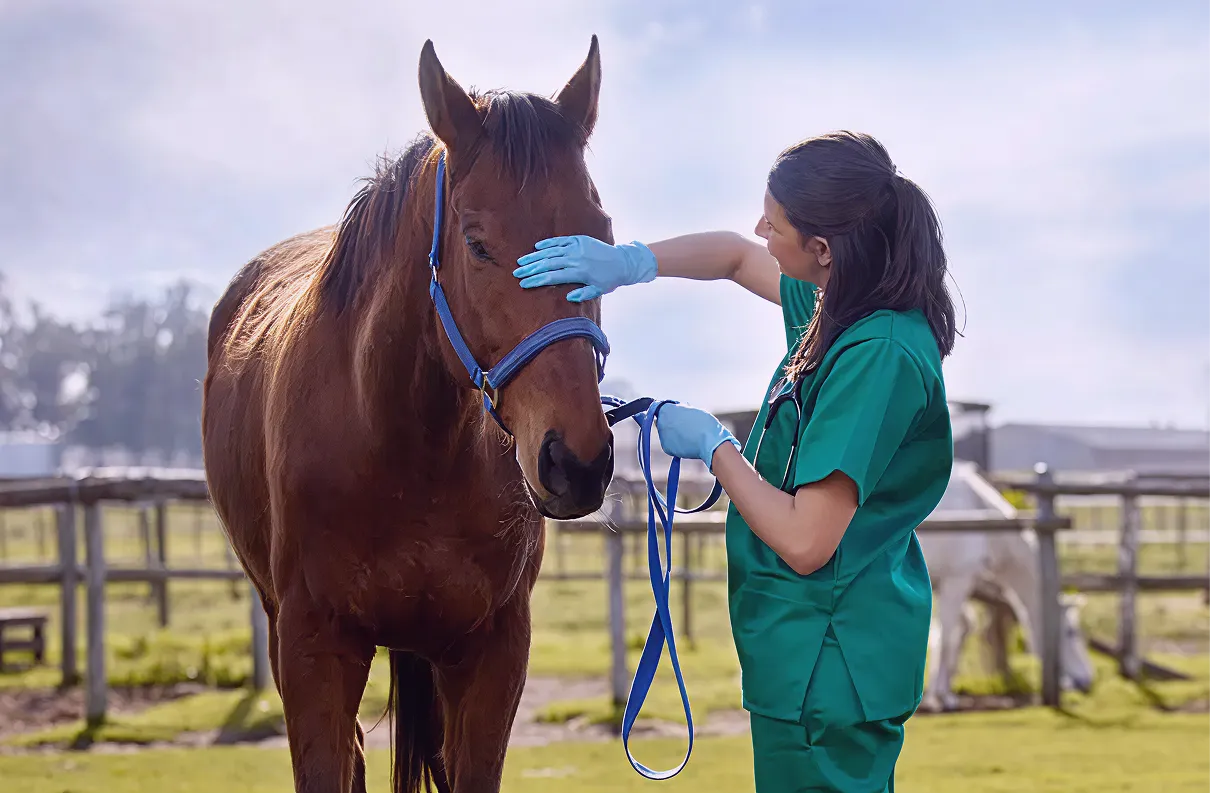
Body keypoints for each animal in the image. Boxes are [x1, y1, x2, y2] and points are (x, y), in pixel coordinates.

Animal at [201, 37, 616, 793]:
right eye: (477, 243)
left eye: (599, 232)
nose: (574, 460)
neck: (402, 447)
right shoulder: (311, 648)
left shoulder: (493, 651)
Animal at [919, 463, 1095, 711]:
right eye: (1071, 632)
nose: (1087, 681)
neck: (980, 516)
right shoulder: (957, 579)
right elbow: (946, 640)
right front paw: (939, 698)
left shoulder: (943, 585)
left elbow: (958, 631)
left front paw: (942, 694)